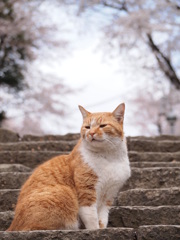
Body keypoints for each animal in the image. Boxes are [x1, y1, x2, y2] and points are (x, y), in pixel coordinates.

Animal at [7, 102, 131, 231]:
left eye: (102, 125)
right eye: (87, 127)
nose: (91, 133)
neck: (109, 157)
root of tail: (12, 225)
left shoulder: (109, 195)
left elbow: (102, 218)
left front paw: (101, 228)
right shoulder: (86, 191)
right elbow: (91, 217)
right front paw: (95, 230)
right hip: (63, 192)